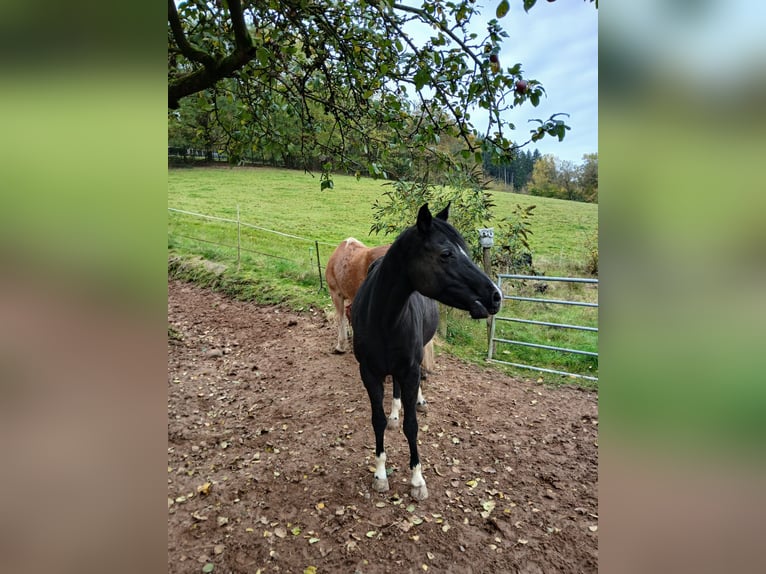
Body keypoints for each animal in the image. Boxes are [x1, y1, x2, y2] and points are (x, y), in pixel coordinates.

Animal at [352, 205, 504, 502]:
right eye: (446, 254)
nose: (495, 296)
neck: (382, 319)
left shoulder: (409, 370)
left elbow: (411, 425)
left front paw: (417, 480)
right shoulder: (369, 373)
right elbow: (377, 420)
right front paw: (380, 475)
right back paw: (394, 414)